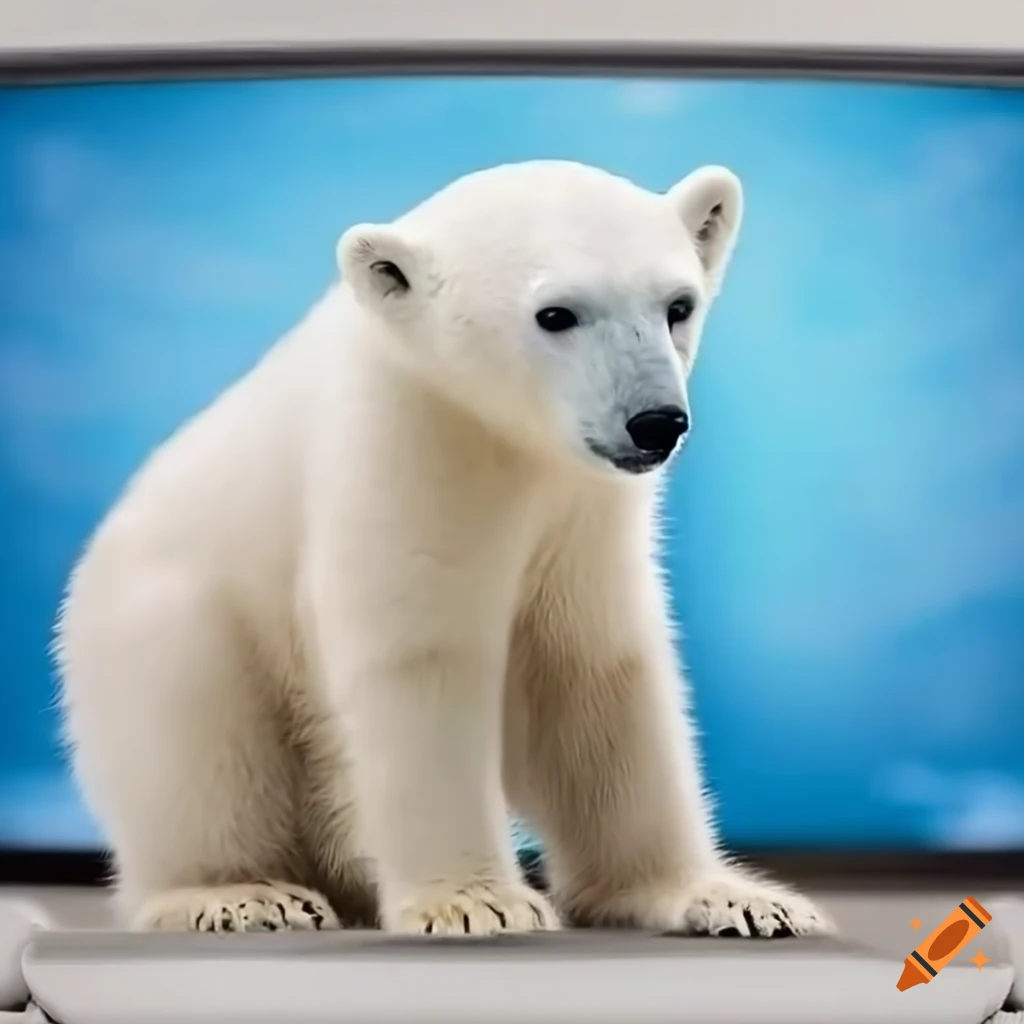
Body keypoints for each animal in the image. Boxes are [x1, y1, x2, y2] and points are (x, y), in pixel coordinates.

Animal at [55, 159, 832, 939]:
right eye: (557, 314)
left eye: (678, 304)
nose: (656, 421)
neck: (501, 434)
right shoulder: (406, 448)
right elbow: (423, 659)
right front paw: (476, 902)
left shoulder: (582, 514)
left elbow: (591, 674)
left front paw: (733, 898)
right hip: (167, 627)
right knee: (198, 739)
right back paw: (240, 893)